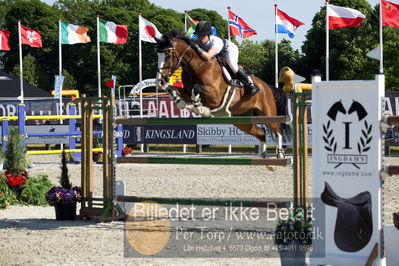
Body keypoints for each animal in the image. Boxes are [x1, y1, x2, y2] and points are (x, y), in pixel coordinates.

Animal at [155, 30, 290, 156]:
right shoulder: (185, 91)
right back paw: (264, 155)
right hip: (242, 119)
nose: (159, 81)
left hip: (267, 114)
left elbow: (196, 89)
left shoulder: (215, 96)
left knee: (278, 131)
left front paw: (200, 107)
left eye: (168, 55)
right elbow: (174, 90)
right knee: (261, 133)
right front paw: (182, 102)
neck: (197, 66)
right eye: (157, 55)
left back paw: (280, 154)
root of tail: (267, 86)